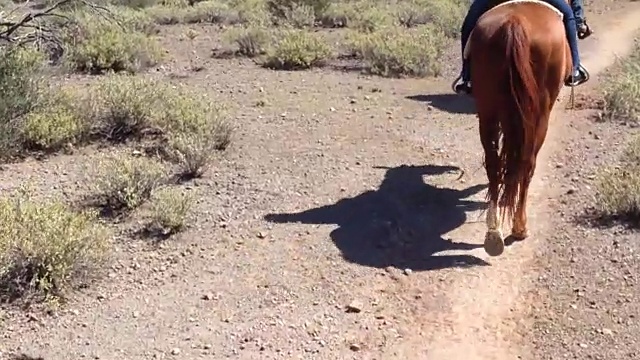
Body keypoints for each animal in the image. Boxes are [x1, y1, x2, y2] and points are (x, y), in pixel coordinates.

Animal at [464, 0, 568, 256]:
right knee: (527, 163)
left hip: (488, 111)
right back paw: (520, 226)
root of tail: (514, 22)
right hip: (539, 116)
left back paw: (494, 232)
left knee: (493, 163)